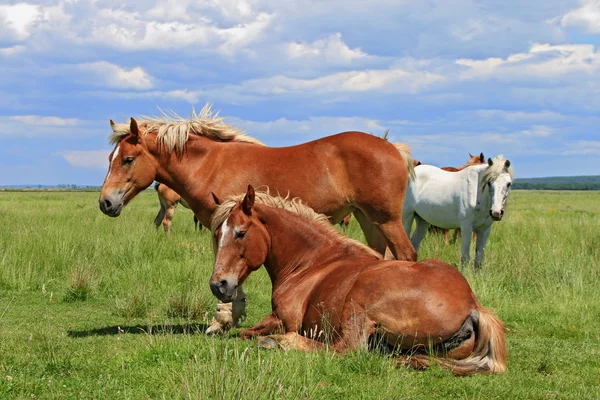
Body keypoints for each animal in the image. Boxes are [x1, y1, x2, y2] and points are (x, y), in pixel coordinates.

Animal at [97, 105, 418, 334]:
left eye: (127, 159)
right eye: (110, 158)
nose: (105, 202)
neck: (210, 165)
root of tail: (392, 147)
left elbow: (229, 269)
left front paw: (223, 318)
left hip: (387, 220)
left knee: (406, 255)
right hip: (368, 220)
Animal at [207, 186, 506, 376]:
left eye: (241, 233)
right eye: (217, 234)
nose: (218, 285)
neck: (312, 262)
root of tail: (473, 306)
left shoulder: (284, 318)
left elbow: (247, 332)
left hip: (359, 300)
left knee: (344, 348)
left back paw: (278, 343)